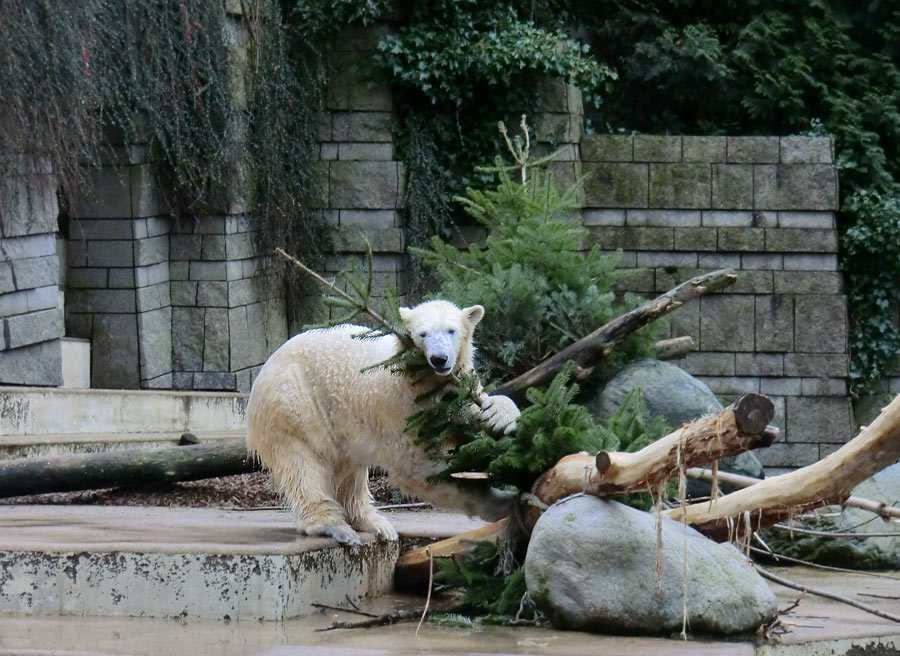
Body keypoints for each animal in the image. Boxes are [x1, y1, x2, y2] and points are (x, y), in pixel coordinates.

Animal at [246, 300, 520, 544]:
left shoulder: (454, 390)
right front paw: (501, 502)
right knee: (304, 464)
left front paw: (498, 414)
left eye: (451, 330)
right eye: (422, 334)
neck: (411, 373)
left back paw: (375, 523)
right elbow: (417, 468)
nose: (439, 358)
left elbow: (470, 409)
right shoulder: (403, 407)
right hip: (296, 406)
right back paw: (334, 526)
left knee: (349, 472)